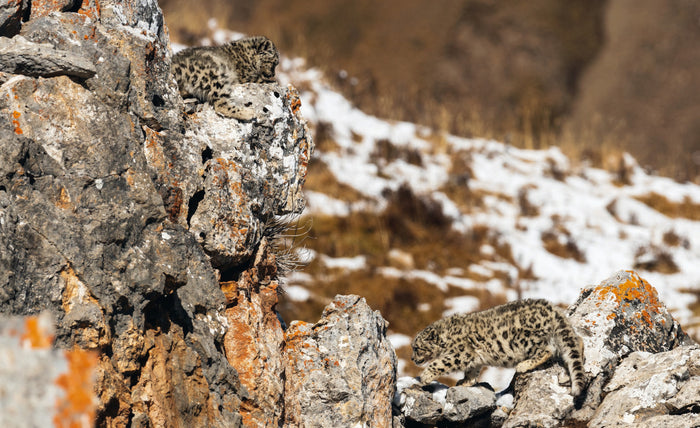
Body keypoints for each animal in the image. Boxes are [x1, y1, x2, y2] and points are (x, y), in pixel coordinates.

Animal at [411, 298, 585, 399]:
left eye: (417, 348)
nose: (412, 358)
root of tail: (553, 309)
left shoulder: (460, 354)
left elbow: (439, 363)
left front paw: (425, 376)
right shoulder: (473, 358)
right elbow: (472, 371)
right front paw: (465, 381)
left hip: (524, 340)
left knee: (547, 350)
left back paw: (523, 365)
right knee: (577, 340)